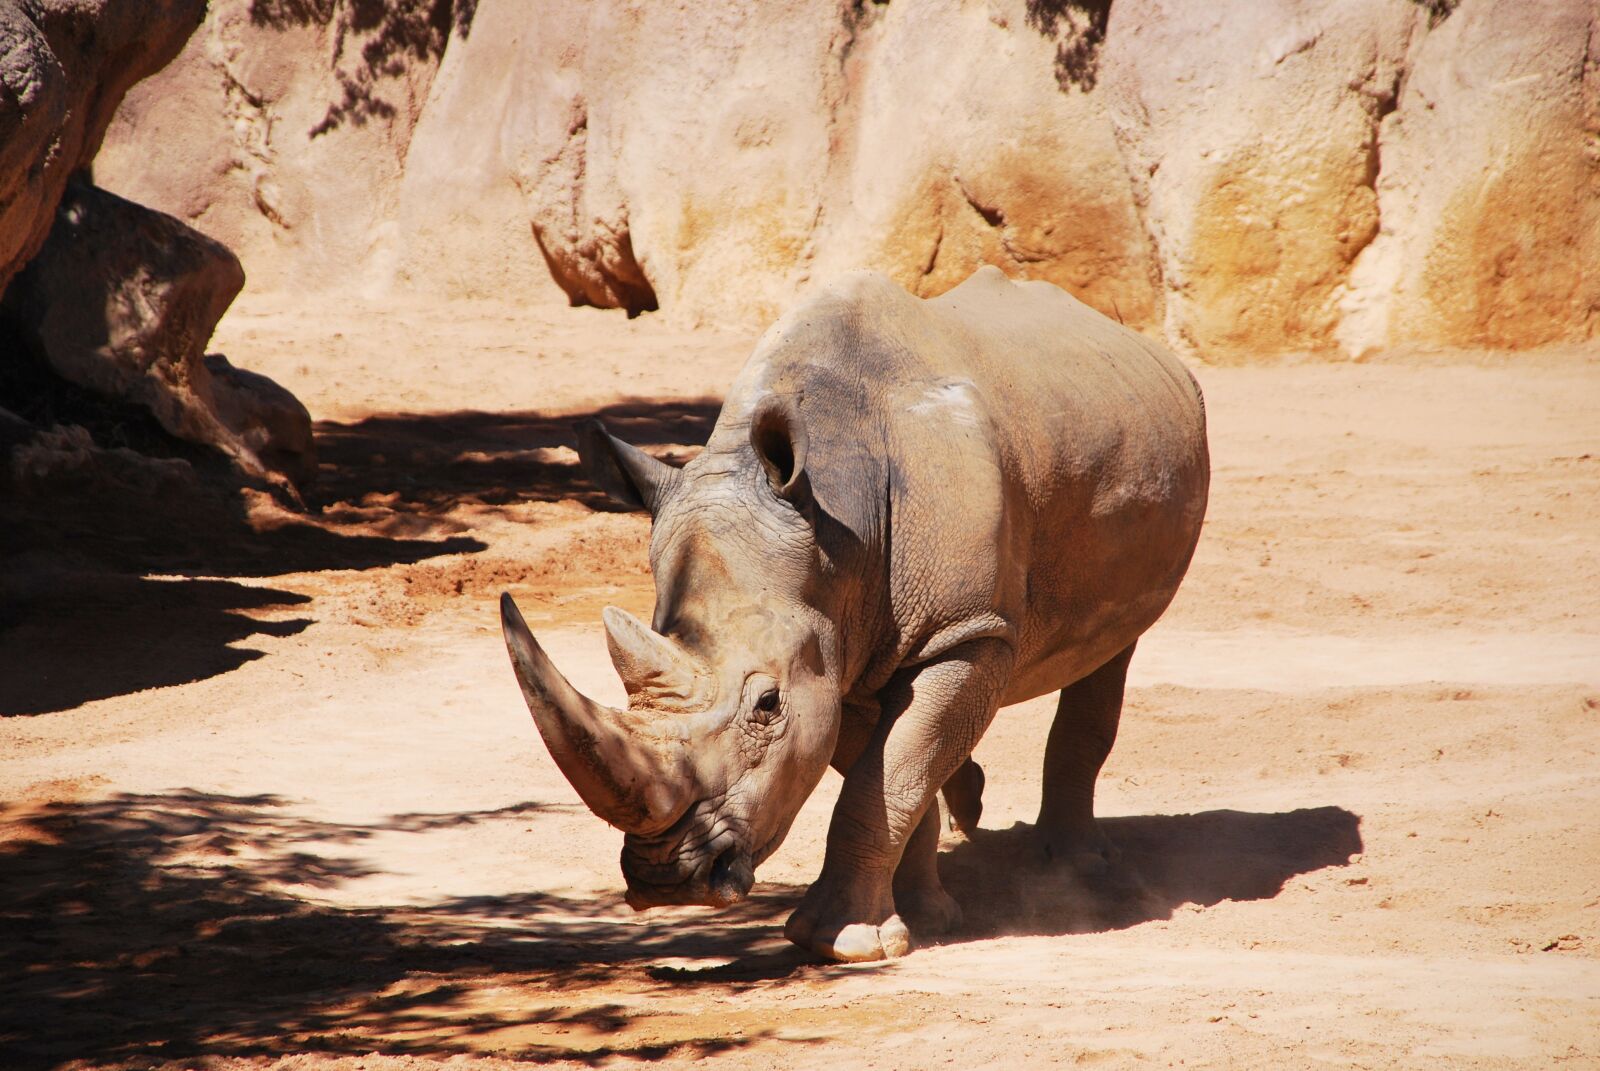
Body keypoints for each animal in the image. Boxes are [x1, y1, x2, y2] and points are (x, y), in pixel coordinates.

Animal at [500, 266, 1209, 962]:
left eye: (767, 707)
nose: (667, 881)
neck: (838, 524)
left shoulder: (965, 634)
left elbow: (885, 775)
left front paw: (842, 944)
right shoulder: (831, 645)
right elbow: (893, 770)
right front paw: (923, 918)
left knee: (1111, 648)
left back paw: (1077, 870)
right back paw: (977, 809)